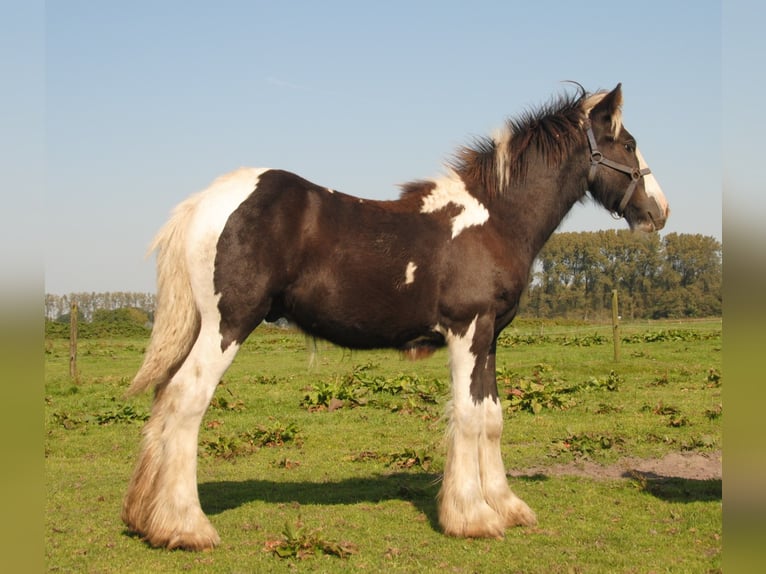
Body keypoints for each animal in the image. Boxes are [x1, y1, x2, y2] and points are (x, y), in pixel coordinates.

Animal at [121, 83, 672, 552]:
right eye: (628, 144)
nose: (659, 212)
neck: (494, 219)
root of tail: (204, 203)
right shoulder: (466, 332)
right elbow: (467, 417)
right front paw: (472, 517)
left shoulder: (490, 337)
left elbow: (492, 418)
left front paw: (508, 507)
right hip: (228, 326)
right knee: (186, 401)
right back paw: (187, 527)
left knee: (163, 399)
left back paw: (148, 520)